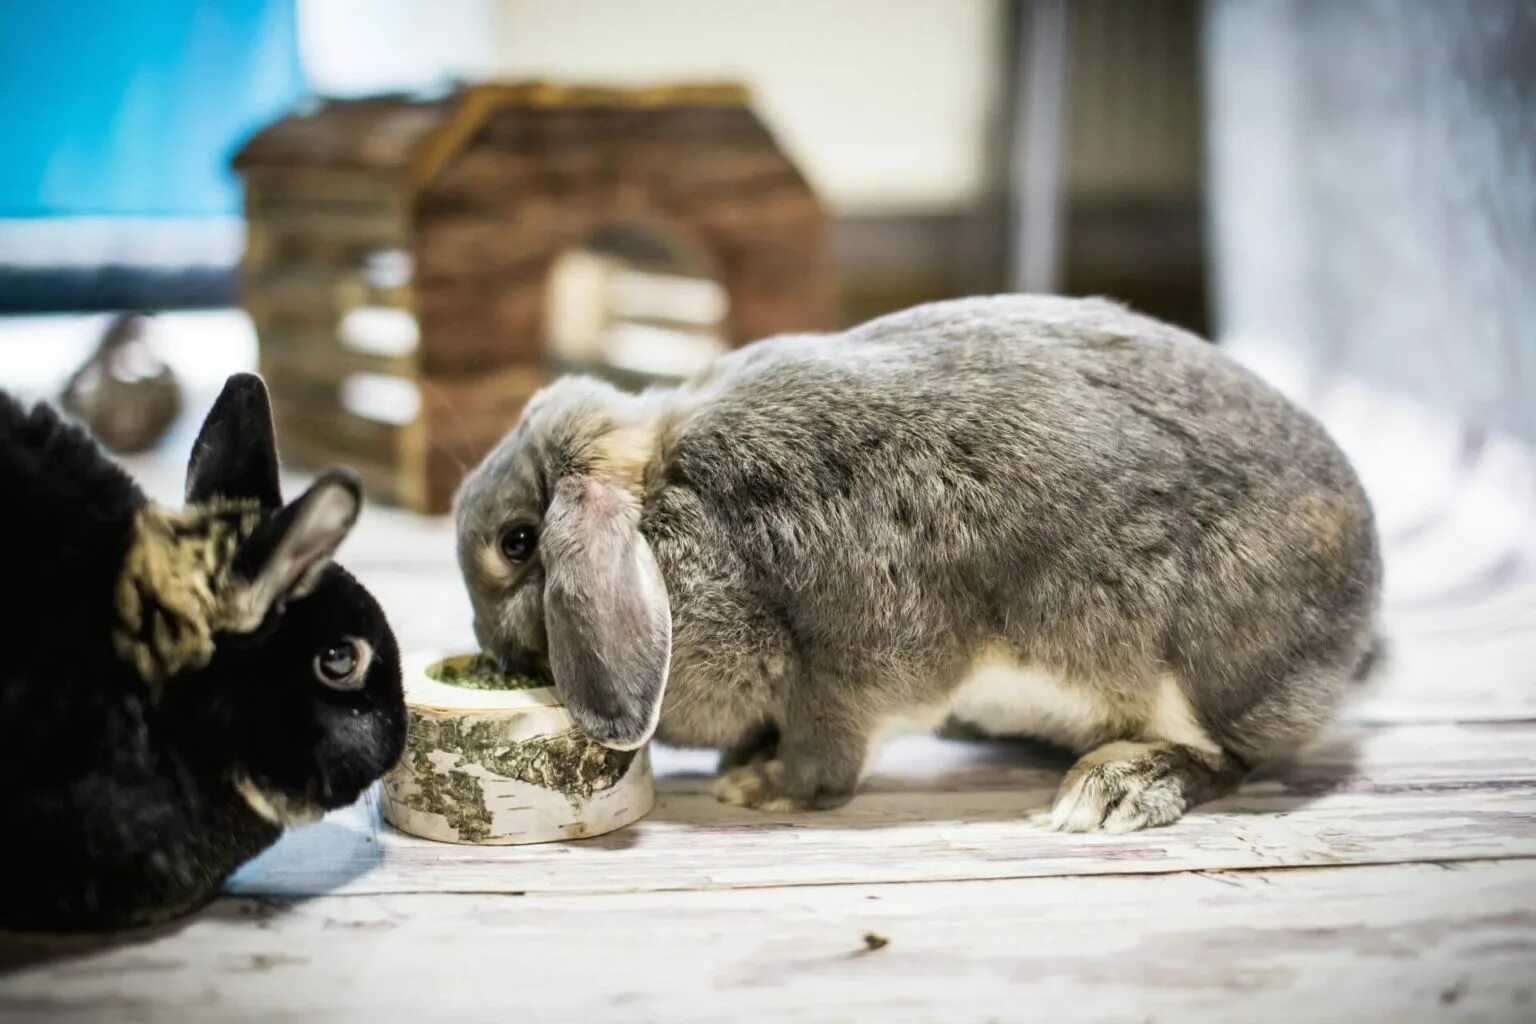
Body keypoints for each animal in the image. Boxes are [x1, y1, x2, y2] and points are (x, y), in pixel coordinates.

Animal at [454, 291, 1382, 829]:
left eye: (517, 542)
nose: (492, 656)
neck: (665, 501)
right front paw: (743, 765)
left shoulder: (846, 659)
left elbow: (829, 743)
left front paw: (764, 787)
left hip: (1211, 664)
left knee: (1232, 756)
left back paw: (1113, 789)